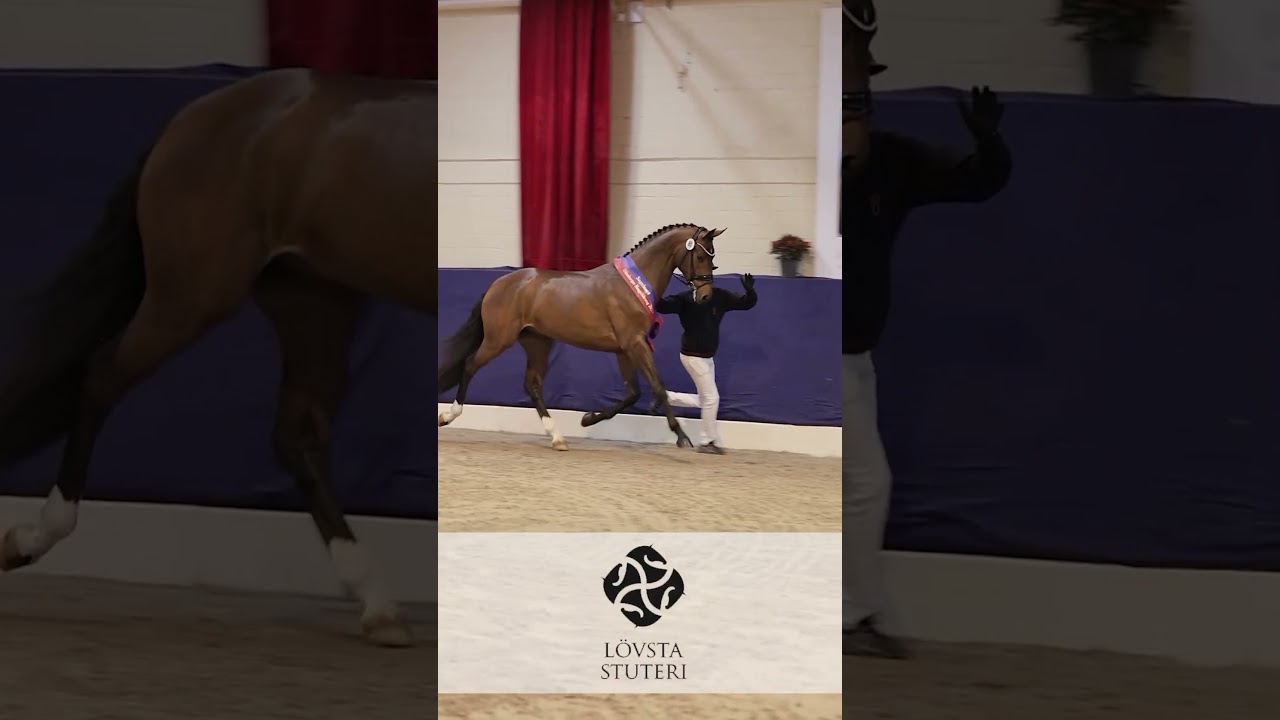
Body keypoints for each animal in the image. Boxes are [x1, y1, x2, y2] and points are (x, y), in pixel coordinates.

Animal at [0, 68, 436, 648]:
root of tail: (193, 116)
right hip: (193, 296)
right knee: (101, 376)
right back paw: (33, 538)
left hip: (314, 302)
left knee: (298, 436)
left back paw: (379, 607)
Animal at [437, 224, 725, 451]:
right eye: (701, 255)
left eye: (713, 258)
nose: (706, 296)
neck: (632, 285)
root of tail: (498, 284)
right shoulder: (635, 344)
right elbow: (658, 386)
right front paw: (682, 436)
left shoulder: (624, 349)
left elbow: (632, 393)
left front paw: (588, 418)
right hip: (499, 340)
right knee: (470, 365)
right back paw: (448, 416)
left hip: (538, 342)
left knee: (532, 384)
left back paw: (557, 437)